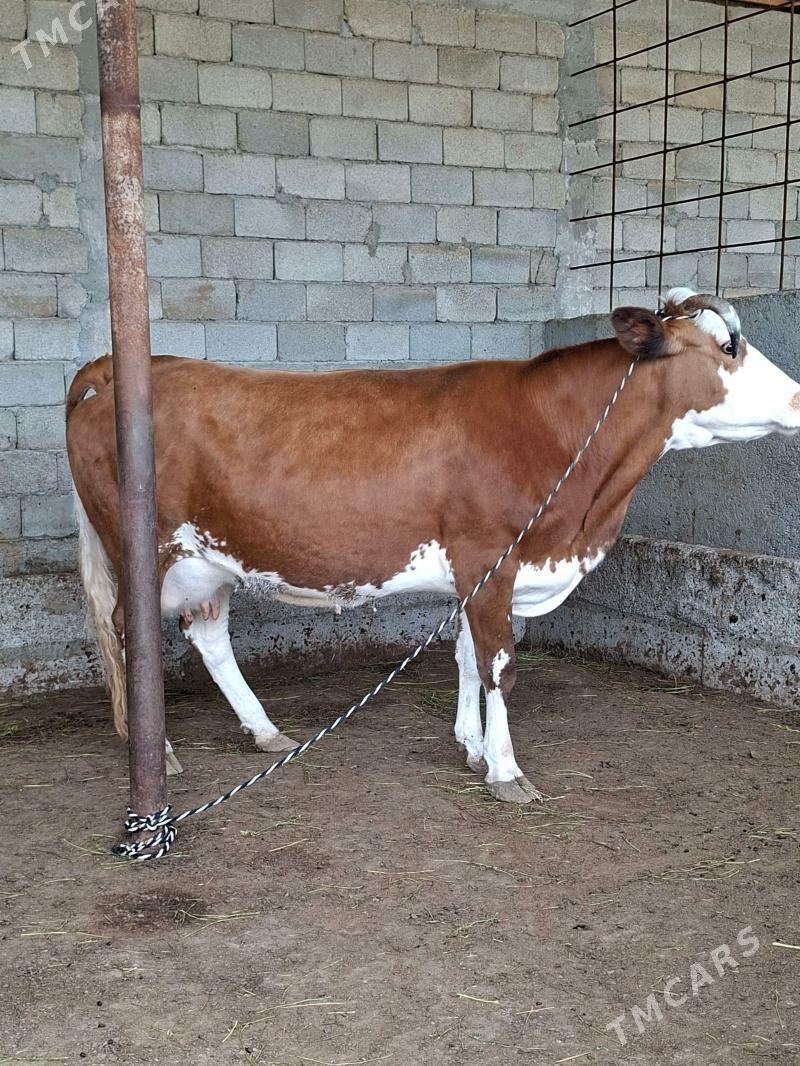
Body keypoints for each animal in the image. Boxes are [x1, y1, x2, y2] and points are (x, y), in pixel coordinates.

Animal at [66, 288, 800, 803]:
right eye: (728, 348)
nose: (798, 399)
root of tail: (114, 367)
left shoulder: (480, 573)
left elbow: (467, 656)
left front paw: (470, 745)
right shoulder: (490, 557)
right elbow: (500, 664)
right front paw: (505, 769)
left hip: (209, 560)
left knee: (209, 635)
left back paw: (266, 732)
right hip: (142, 550)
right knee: (131, 638)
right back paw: (156, 753)